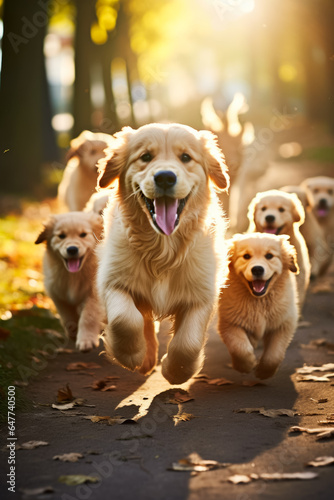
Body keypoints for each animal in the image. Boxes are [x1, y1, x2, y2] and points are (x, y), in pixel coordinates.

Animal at [35, 211, 103, 352]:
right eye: (61, 236)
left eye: (83, 234)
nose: (72, 249)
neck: (74, 276)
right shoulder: (57, 293)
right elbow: (67, 315)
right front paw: (73, 332)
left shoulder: (94, 294)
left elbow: (89, 316)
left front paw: (86, 340)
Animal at [95, 123, 228, 384]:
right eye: (146, 157)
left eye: (185, 157)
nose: (165, 177)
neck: (162, 249)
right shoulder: (113, 281)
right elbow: (125, 320)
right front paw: (131, 355)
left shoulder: (202, 294)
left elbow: (188, 342)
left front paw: (175, 371)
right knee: (142, 318)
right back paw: (145, 357)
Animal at [218, 233, 298, 378]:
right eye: (246, 256)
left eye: (269, 256)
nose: (257, 269)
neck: (259, 301)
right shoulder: (229, 322)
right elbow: (240, 347)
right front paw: (245, 365)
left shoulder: (284, 323)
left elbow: (274, 354)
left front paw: (264, 372)